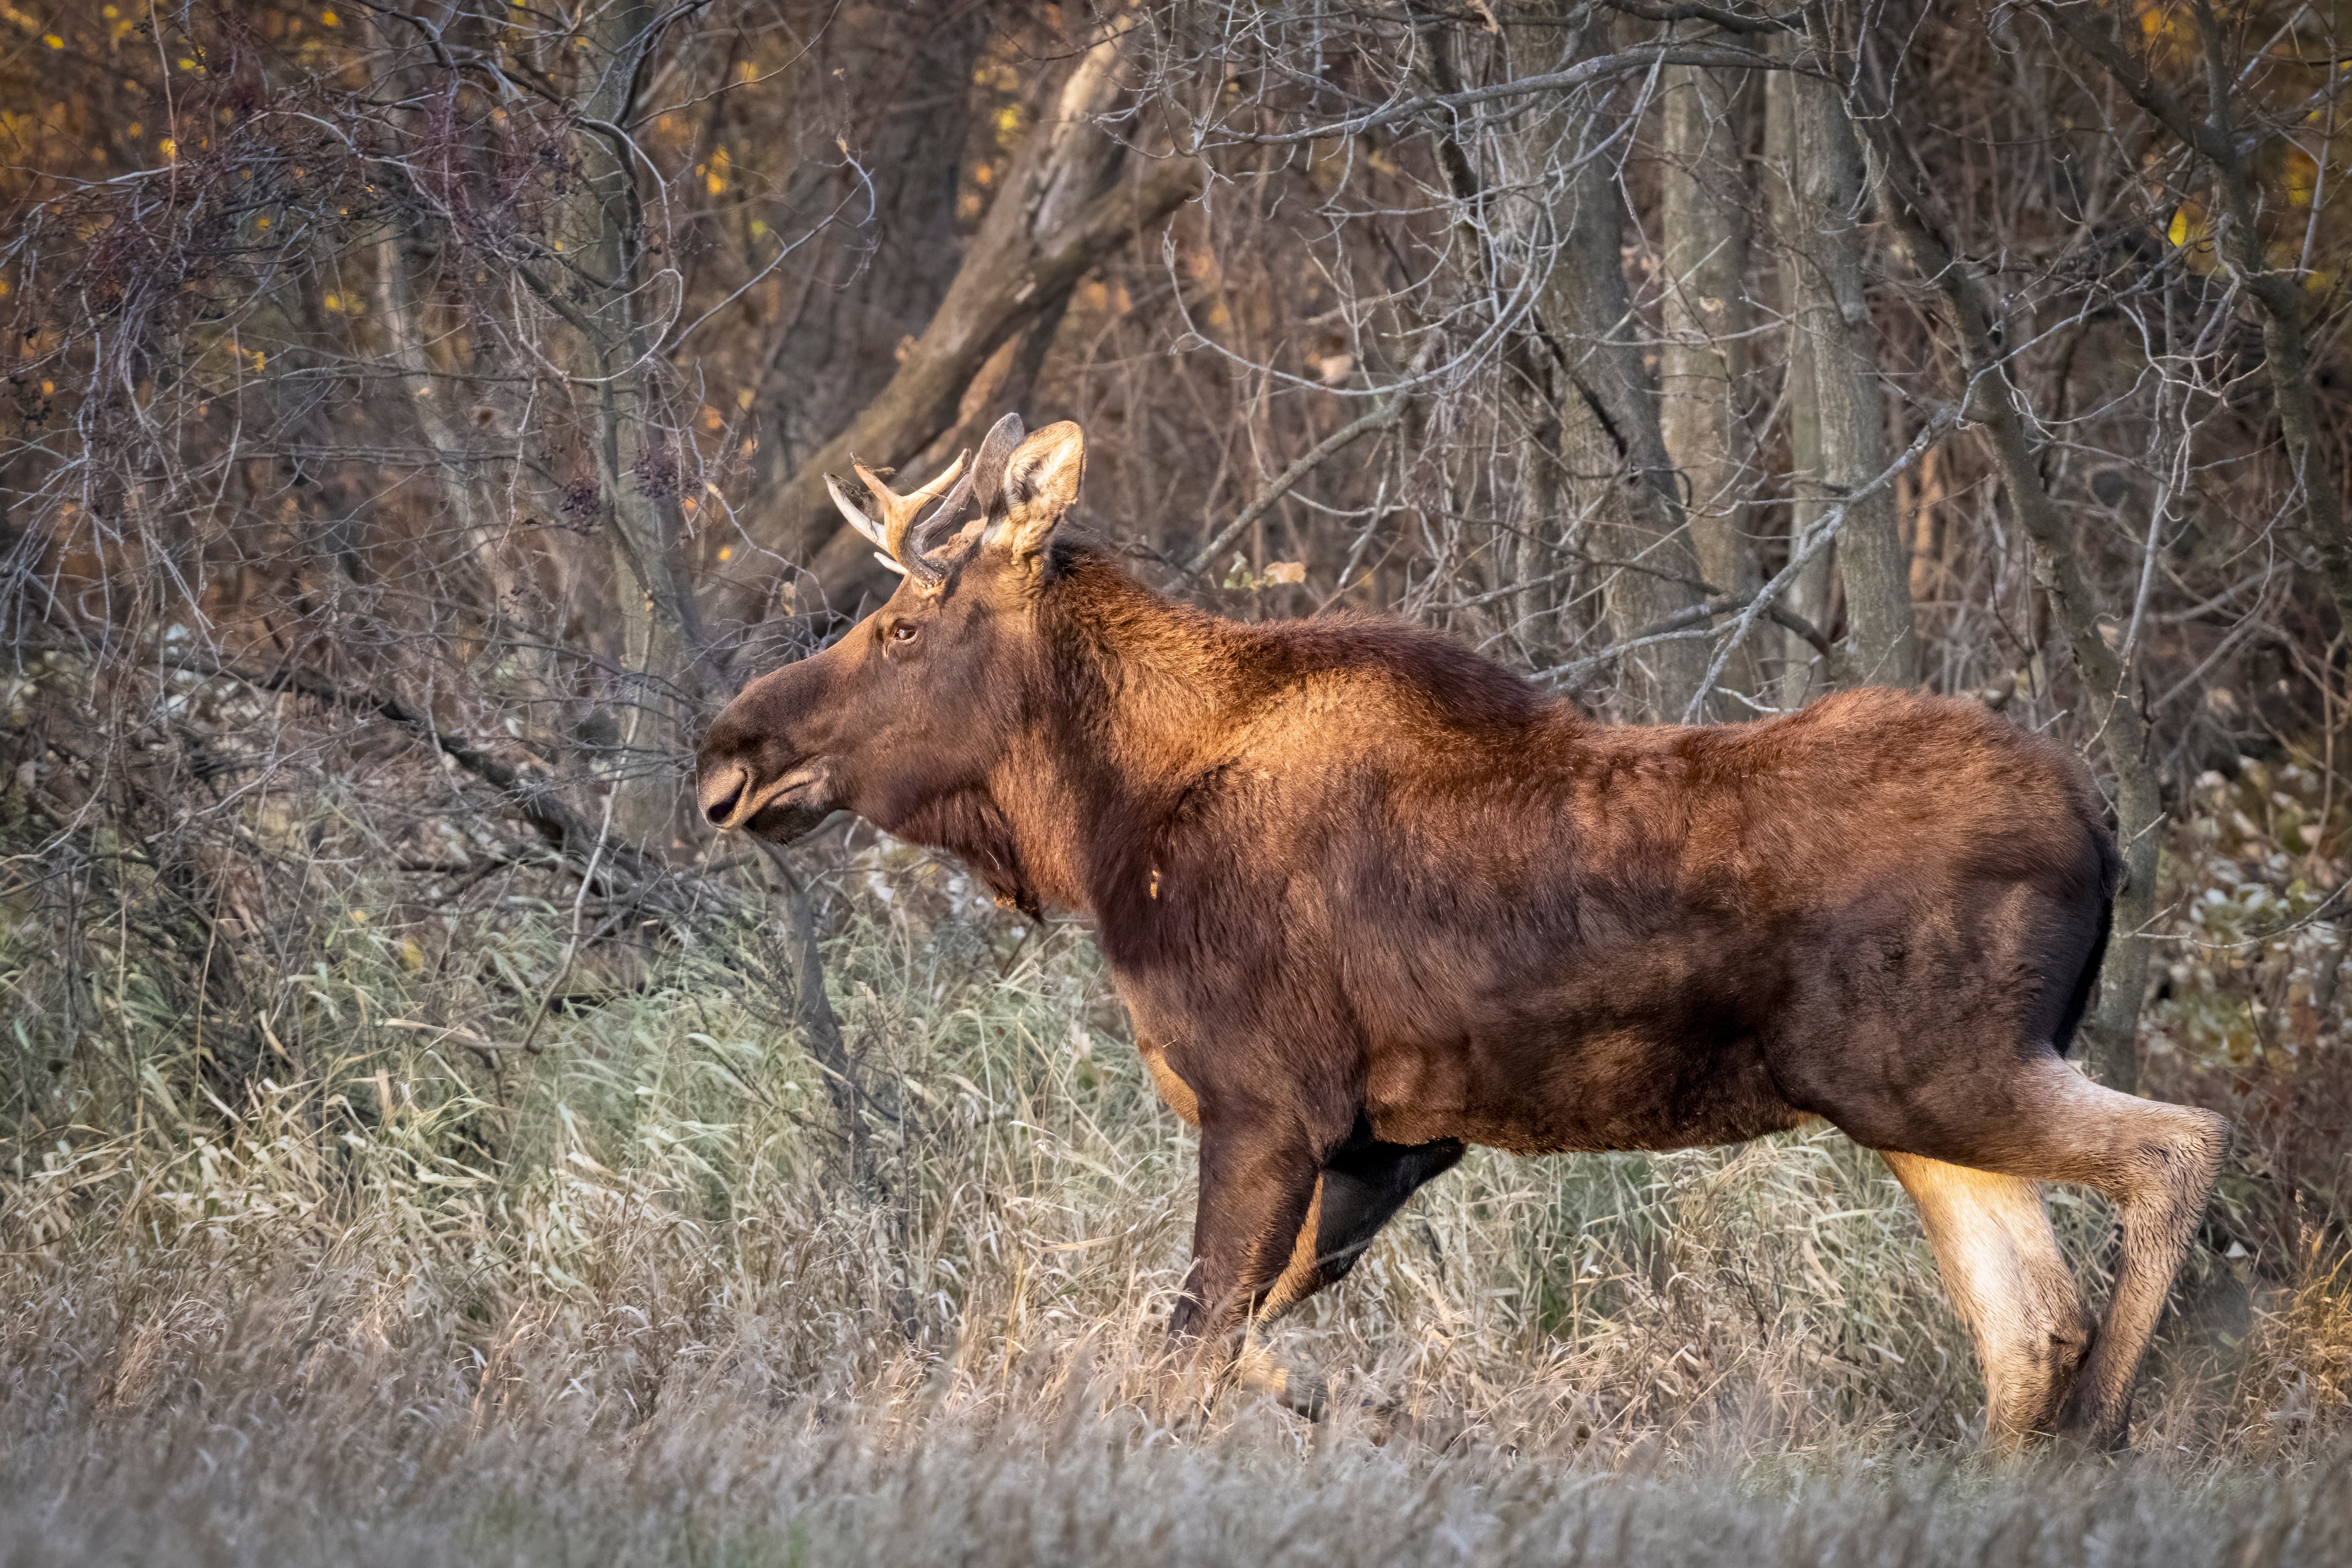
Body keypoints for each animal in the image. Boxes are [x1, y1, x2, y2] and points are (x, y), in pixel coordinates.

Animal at [691, 411, 2220, 1457]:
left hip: (1939, 1068)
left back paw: (2101, 1434)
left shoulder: (1269, 1106)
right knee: (2027, 1323)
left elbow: (1186, 1342)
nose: (728, 749)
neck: (1106, 826)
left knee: (2174, 1149)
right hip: (1903, 1104)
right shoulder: (1393, 1136)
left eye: (900, 626)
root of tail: (2101, 820)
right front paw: (1336, 1401)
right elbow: (1228, 1330)